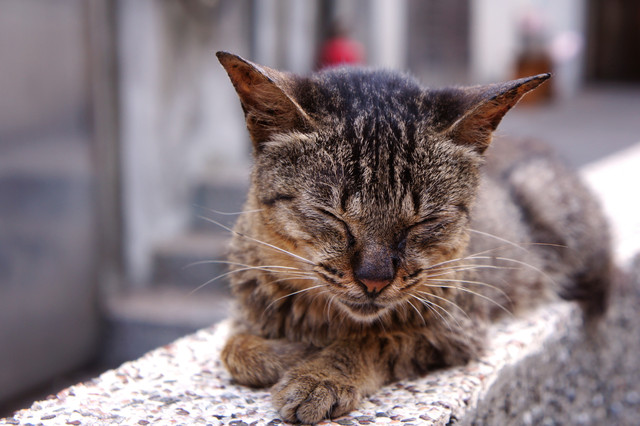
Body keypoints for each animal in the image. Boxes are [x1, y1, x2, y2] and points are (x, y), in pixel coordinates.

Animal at [214, 50, 608, 422]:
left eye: (424, 221)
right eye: (330, 214)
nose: (374, 280)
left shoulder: (459, 327)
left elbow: (374, 338)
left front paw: (320, 373)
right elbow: (233, 349)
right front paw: (292, 352)